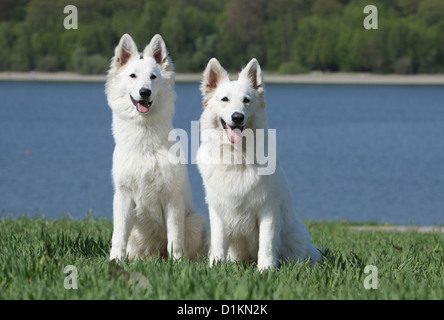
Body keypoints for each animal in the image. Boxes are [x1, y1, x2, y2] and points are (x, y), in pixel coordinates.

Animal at [106, 33, 206, 262]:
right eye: (133, 76)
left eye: (153, 77)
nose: (145, 92)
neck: (144, 140)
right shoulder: (123, 197)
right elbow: (118, 236)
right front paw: (115, 260)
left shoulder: (172, 198)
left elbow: (175, 237)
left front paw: (177, 263)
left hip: (194, 221)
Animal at [198, 57, 322, 270]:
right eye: (225, 99)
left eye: (246, 100)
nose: (237, 117)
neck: (237, 156)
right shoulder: (218, 210)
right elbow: (218, 241)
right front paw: (216, 266)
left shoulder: (267, 208)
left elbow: (266, 242)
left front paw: (266, 269)